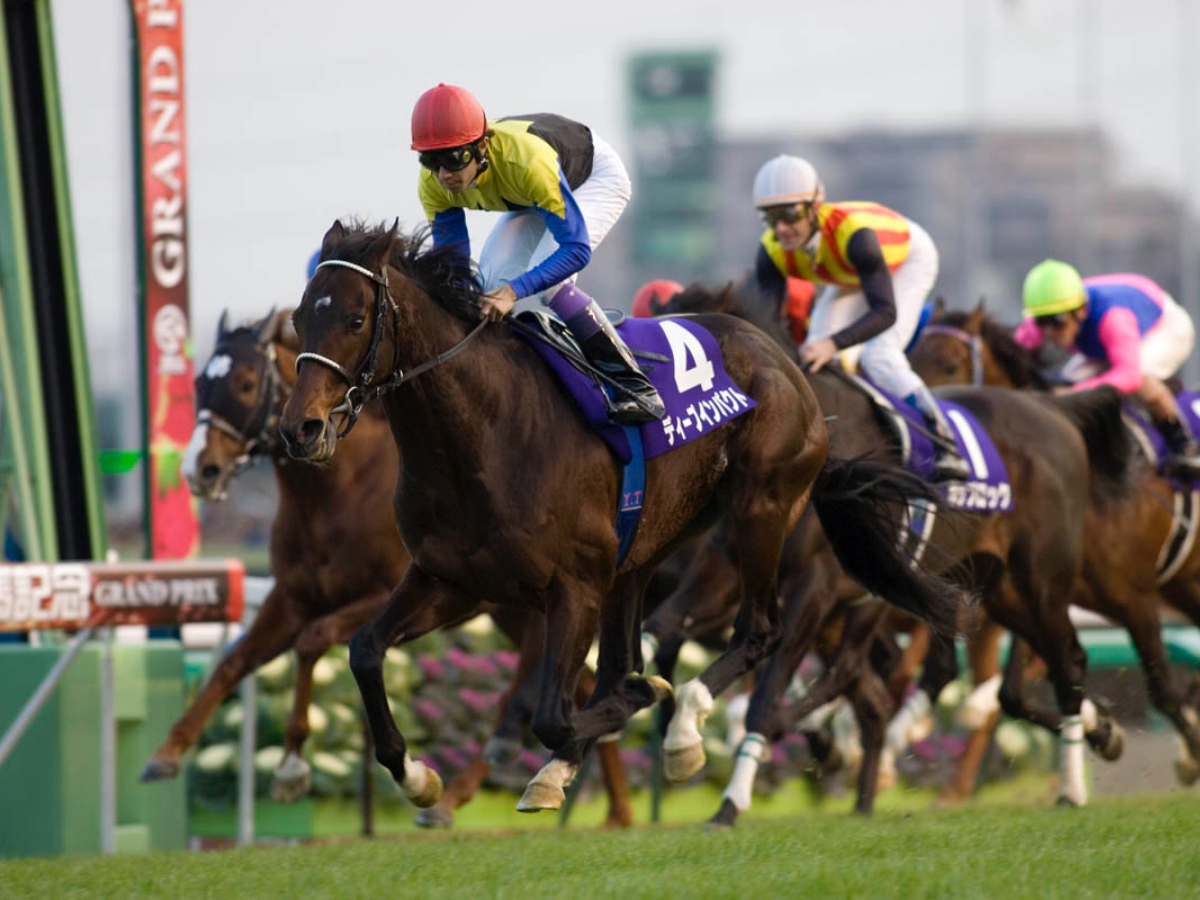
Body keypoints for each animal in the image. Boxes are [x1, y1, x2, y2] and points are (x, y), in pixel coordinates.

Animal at [141, 307, 638, 830]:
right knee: (581, 683)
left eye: (244, 382)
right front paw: (166, 753)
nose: (200, 470)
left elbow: (312, 641)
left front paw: (293, 765)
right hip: (515, 610)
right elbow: (234, 663)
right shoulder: (292, 596)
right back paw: (603, 803)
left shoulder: (381, 593)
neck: (337, 493)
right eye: (199, 381)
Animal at [278, 220, 964, 816]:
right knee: (634, 649)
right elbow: (365, 651)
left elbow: (557, 713)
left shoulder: (574, 586)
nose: (300, 429)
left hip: (761, 510)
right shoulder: (451, 579)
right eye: (299, 317)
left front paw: (646, 702)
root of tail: (791, 368)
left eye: (355, 319)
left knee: (759, 632)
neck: (483, 437)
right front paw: (417, 776)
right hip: (647, 549)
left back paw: (685, 728)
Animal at [907, 304, 1200, 787]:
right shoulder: (1036, 588)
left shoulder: (1134, 598)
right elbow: (1015, 692)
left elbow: (1162, 687)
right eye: (911, 357)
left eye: (949, 364)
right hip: (1181, 584)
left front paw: (1190, 756)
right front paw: (1105, 733)